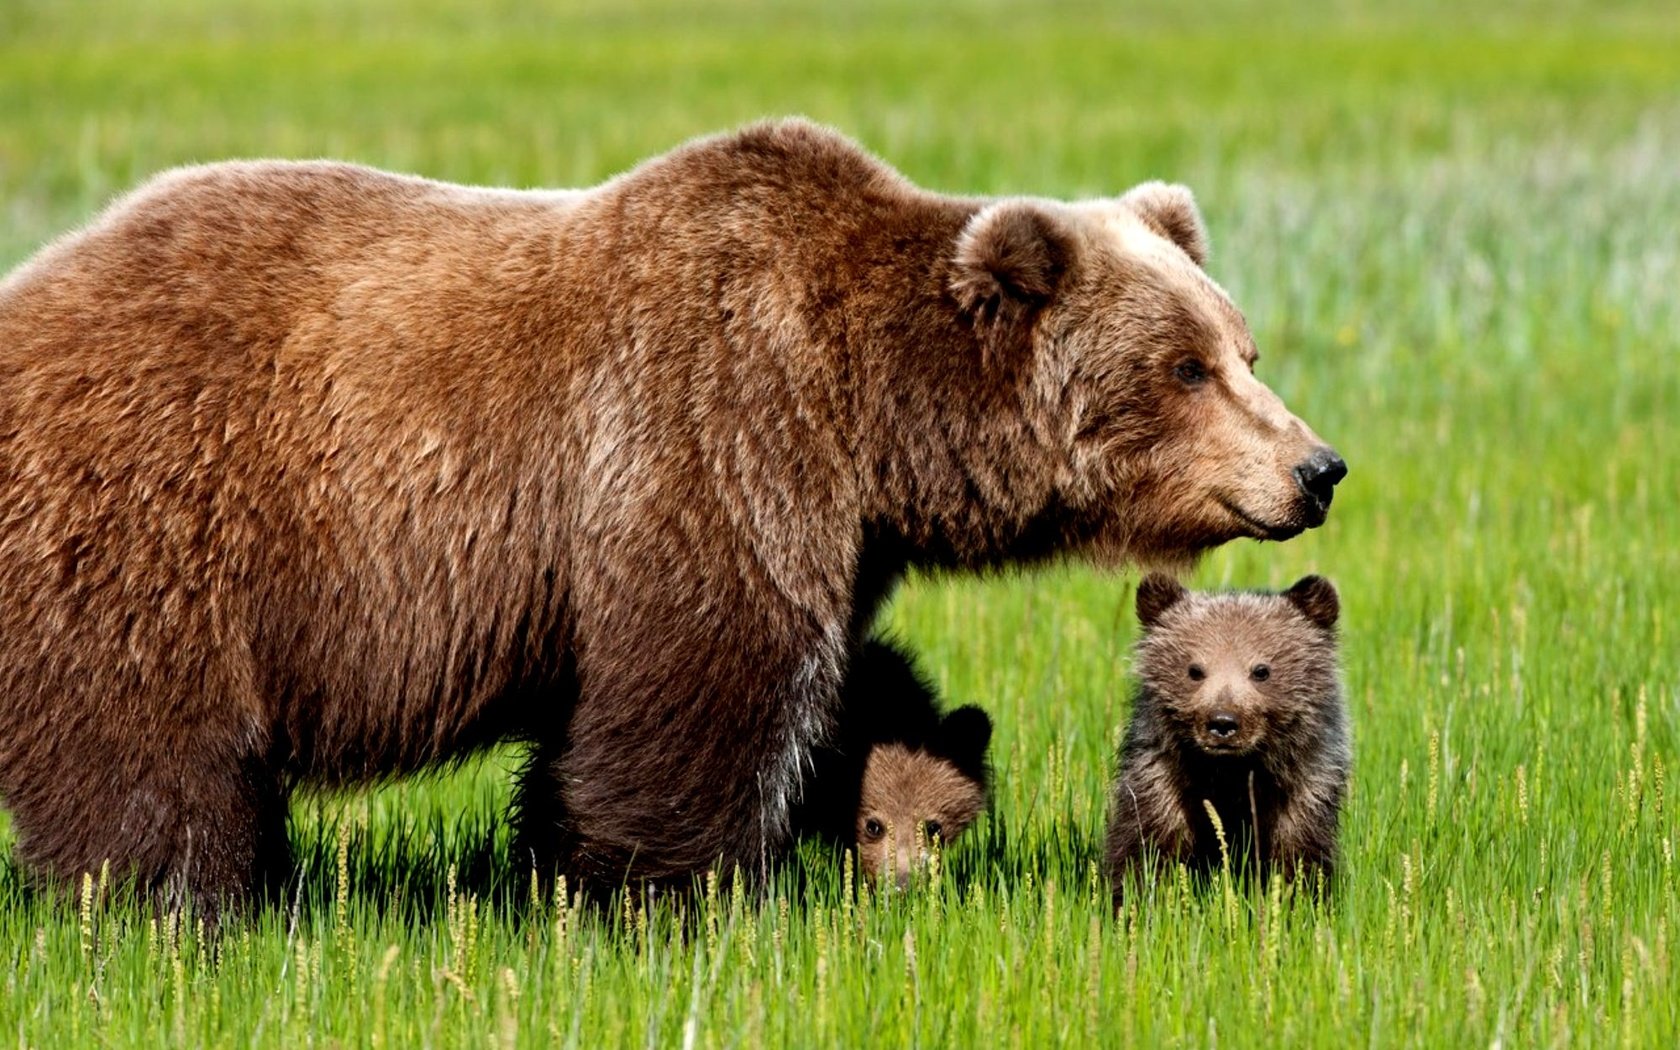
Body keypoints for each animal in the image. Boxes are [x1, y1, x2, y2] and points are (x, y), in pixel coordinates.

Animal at [0, 120, 1337, 907]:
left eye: (1245, 348)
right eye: (1185, 368)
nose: (1317, 467)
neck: (869, 416)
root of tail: (31, 290)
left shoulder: (831, 525)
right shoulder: (710, 438)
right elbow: (701, 689)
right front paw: (674, 893)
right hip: (156, 521)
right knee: (148, 752)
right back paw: (180, 904)